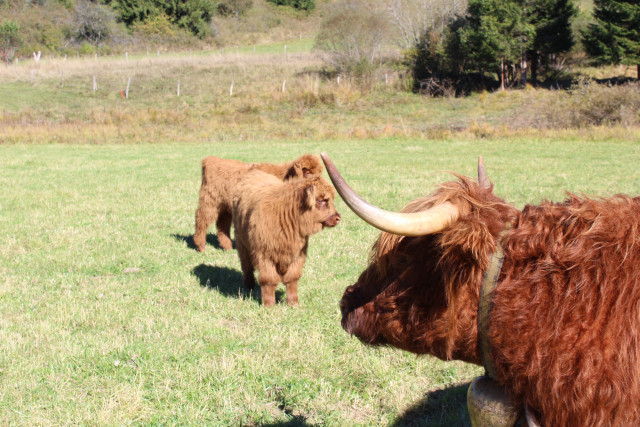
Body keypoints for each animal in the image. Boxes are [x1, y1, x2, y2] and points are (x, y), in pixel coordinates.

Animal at [192, 154, 322, 252]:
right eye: (307, 173)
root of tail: (211, 160)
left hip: (225, 207)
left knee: (222, 224)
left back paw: (227, 247)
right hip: (210, 202)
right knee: (201, 219)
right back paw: (200, 246)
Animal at [231, 169, 340, 306]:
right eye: (321, 200)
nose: (337, 217)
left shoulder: (298, 255)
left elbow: (292, 279)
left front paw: (293, 303)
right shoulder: (264, 255)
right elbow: (268, 280)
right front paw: (269, 304)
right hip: (242, 243)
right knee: (246, 266)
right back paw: (249, 285)